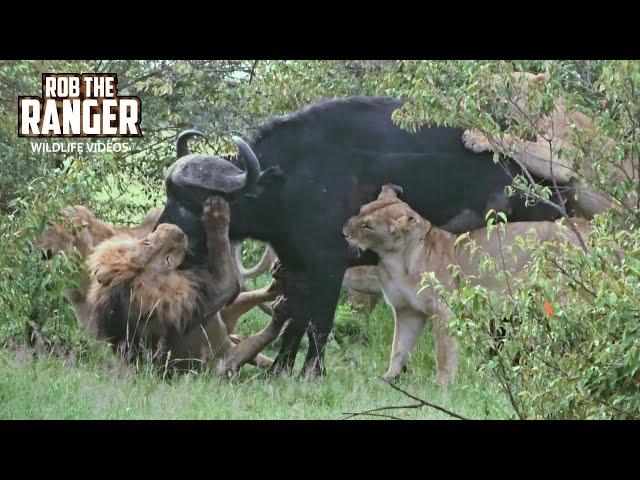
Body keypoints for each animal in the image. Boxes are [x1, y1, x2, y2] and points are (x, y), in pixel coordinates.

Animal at [85, 197, 288, 374]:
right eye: (167, 260)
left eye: (146, 242)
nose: (178, 231)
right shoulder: (210, 293)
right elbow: (224, 262)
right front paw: (216, 212)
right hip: (223, 362)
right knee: (258, 339)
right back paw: (279, 313)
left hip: (225, 316)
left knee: (258, 297)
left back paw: (278, 277)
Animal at [158, 95, 564, 376]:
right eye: (170, 196)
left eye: (196, 204)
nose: (169, 238)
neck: (289, 182)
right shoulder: (295, 268)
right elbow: (294, 319)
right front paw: (279, 370)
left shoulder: (329, 266)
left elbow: (319, 323)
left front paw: (311, 373)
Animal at [344, 186, 592, 384]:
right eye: (361, 210)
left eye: (367, 226)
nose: (344, 231)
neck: (395, 260)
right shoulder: (408, 311)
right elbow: (399, 349)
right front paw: (387, 378)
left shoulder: (444, 311)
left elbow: (444, 353)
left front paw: (442, 386)